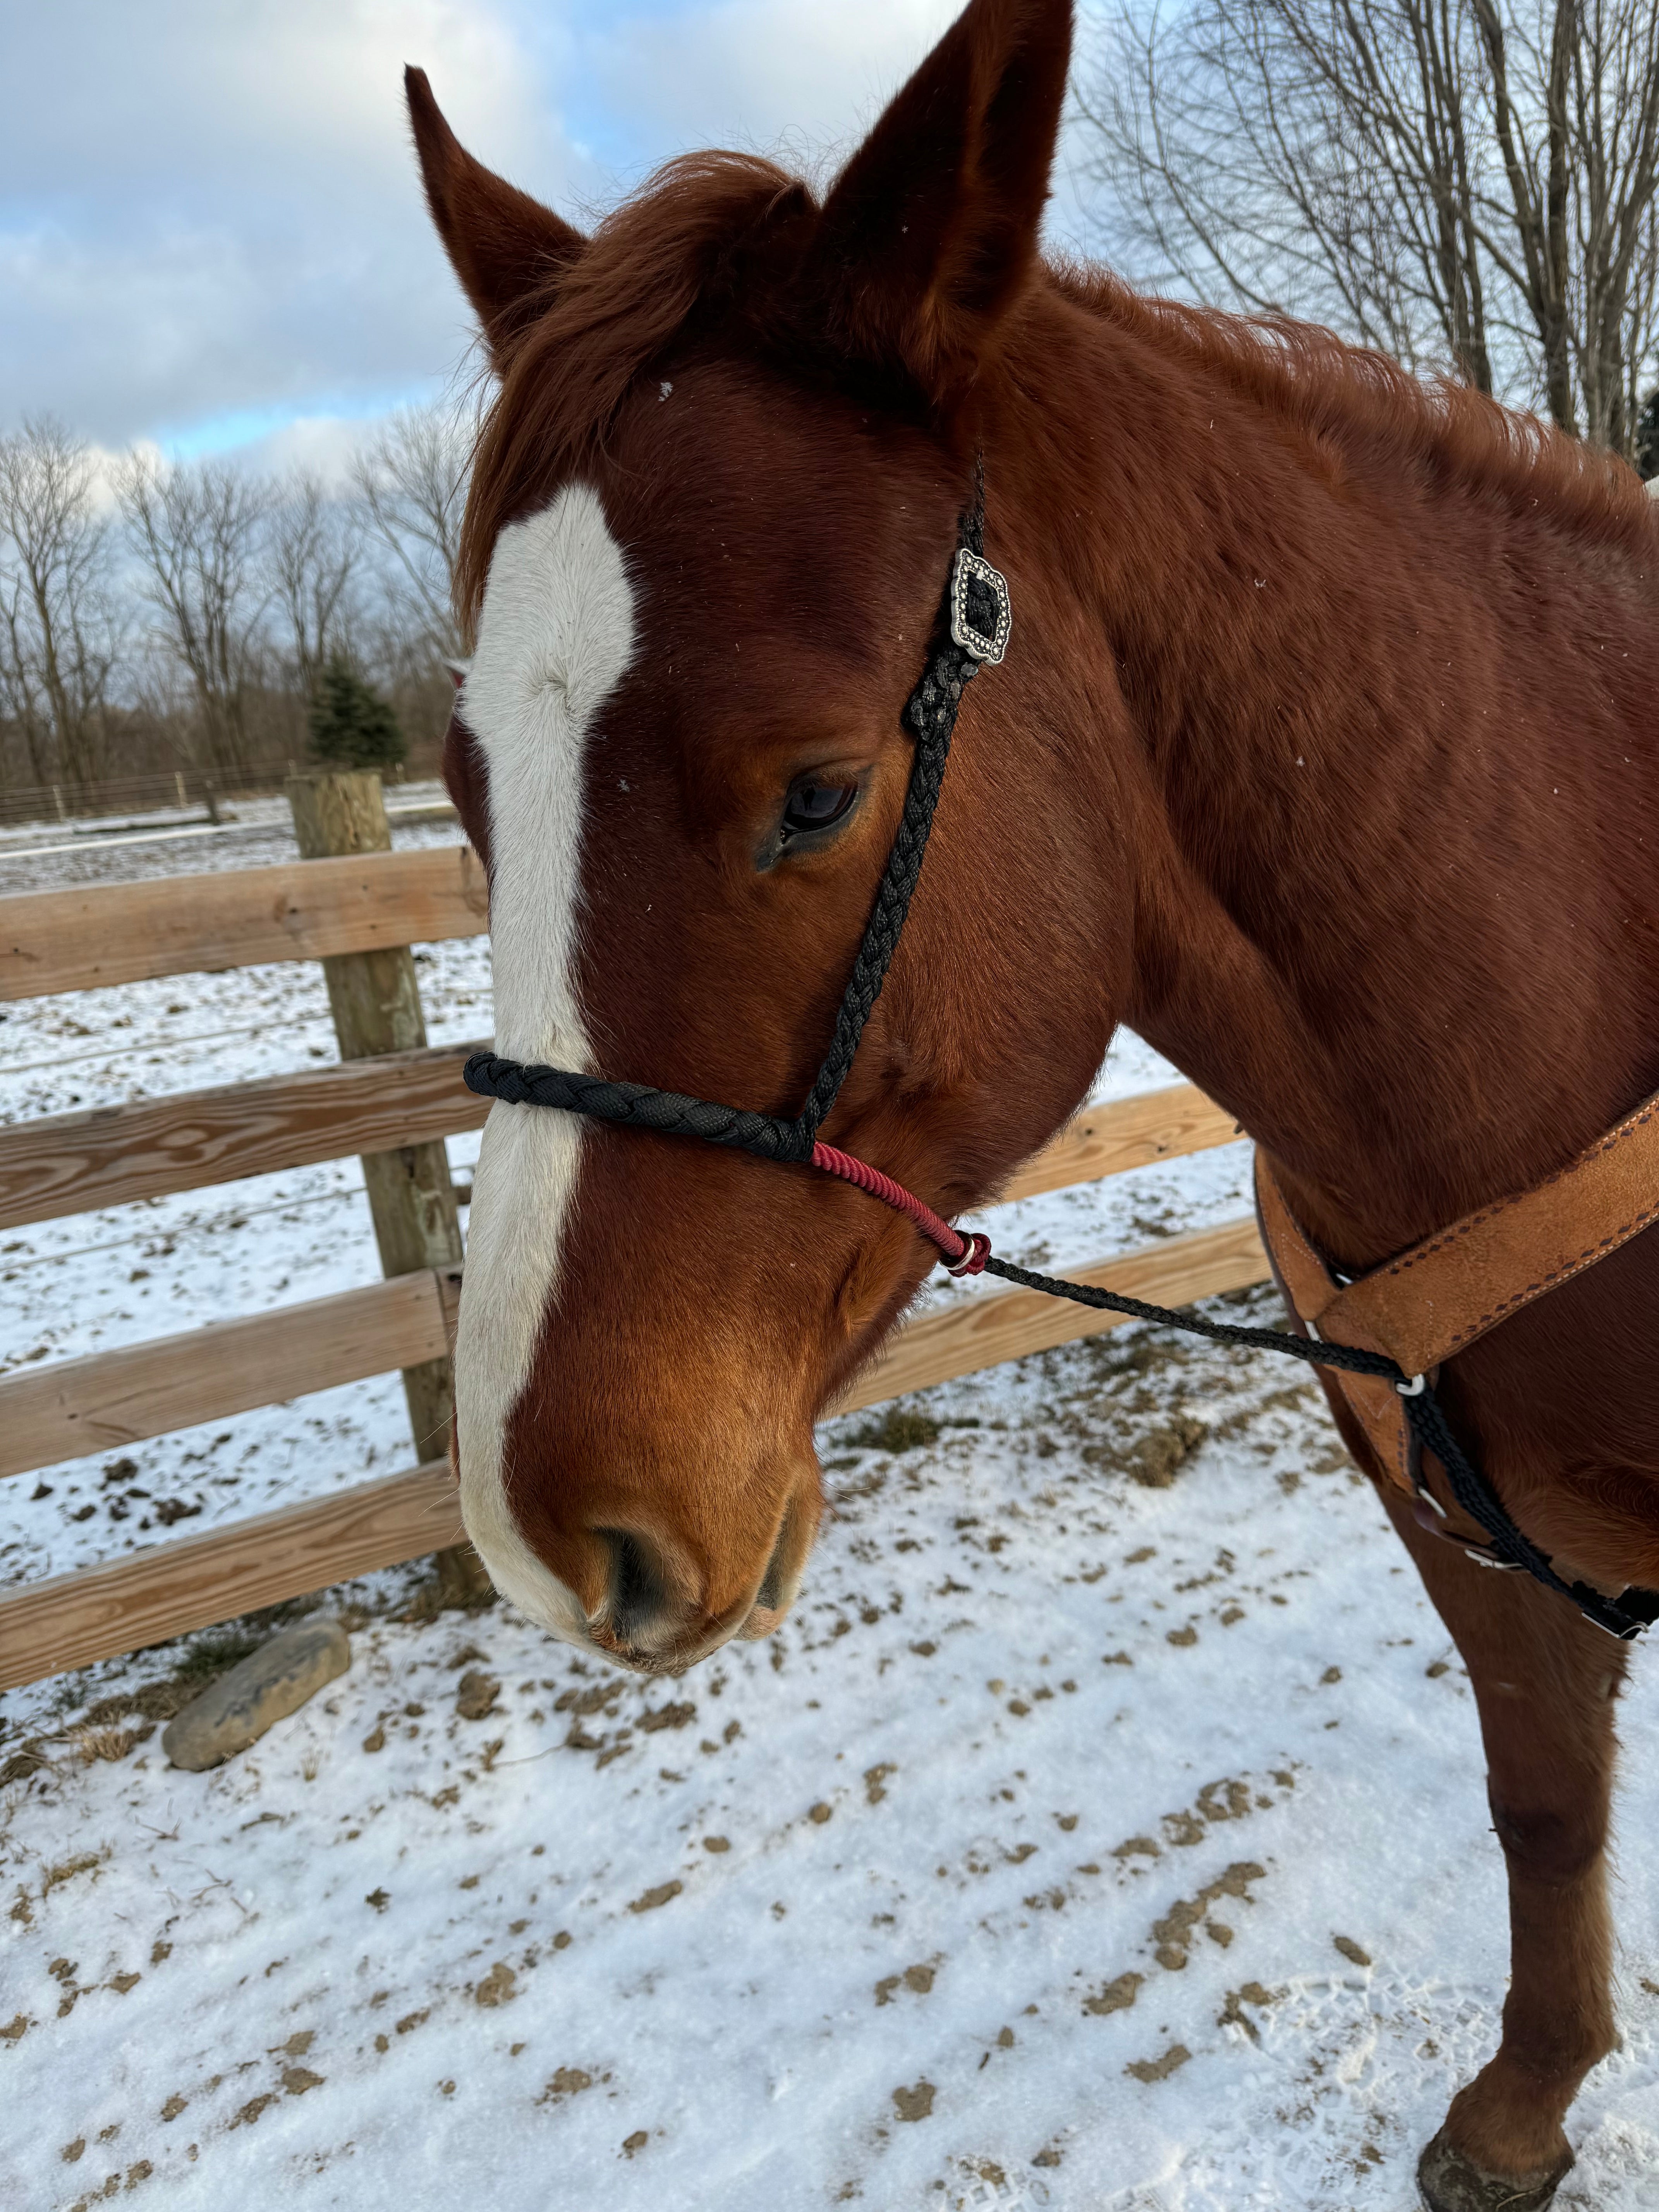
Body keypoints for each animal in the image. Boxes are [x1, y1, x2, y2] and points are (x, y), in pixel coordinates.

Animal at [407, 9, 1659, 2203]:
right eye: (472, 790)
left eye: (819, 790)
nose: (544, 1526)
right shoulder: (1473, 1540)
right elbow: (1544, 1797)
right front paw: (1525, 2100)